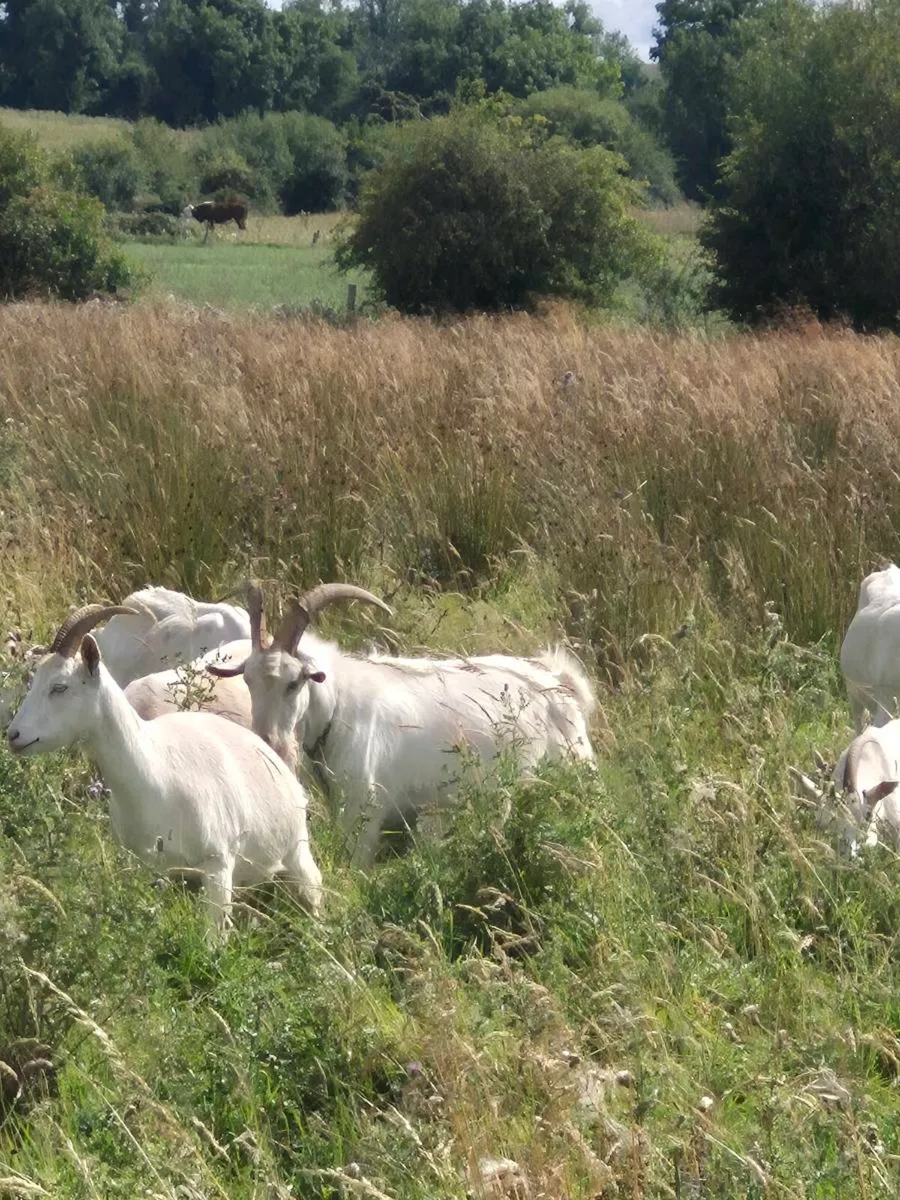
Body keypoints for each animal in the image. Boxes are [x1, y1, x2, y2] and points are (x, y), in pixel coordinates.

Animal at [6, 605, 322, 933]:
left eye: (59, 686)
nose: (13, 735)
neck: (154, 769)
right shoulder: (152, 868)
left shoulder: (218, 865)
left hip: (297, 854)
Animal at [211, 584, 596, 867]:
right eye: (247, 680)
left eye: (294, 683)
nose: (270, 742)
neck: (339, 705)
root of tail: (558, 681)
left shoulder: (363, 813)